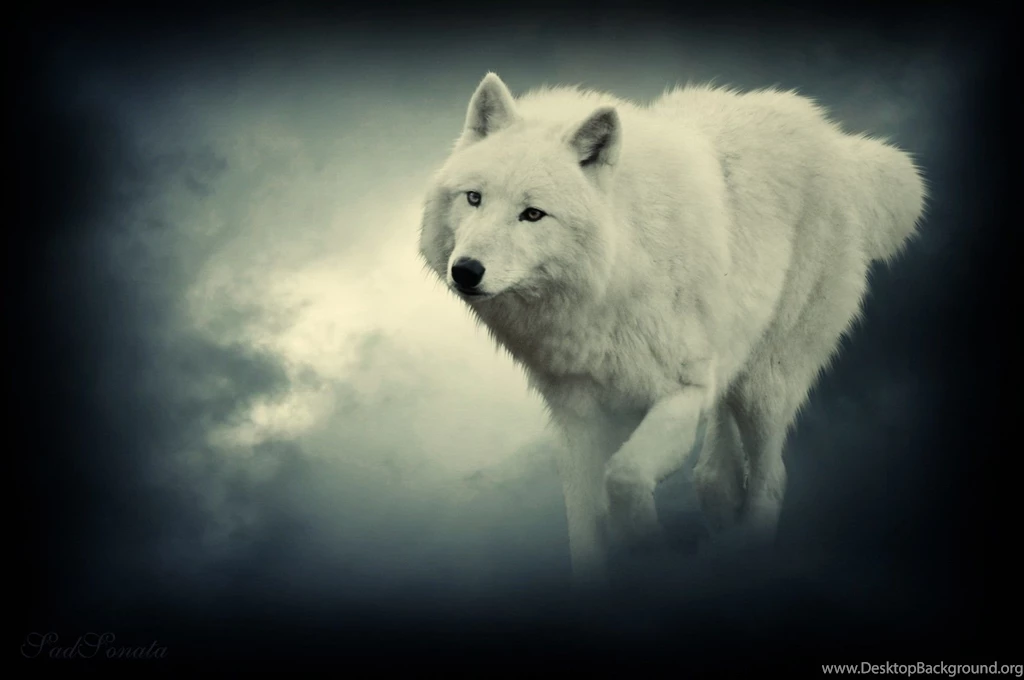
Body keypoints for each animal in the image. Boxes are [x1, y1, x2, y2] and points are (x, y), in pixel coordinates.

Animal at [418, 72, 926, 588]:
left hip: (766, 385)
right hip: (733, 364)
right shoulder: (578, 417)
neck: (615, 276)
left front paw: (647, 548)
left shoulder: (681, 392)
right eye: (474, 198)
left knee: (771, 478)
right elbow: (584, 529)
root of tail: (833, 139)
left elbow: (623, 477)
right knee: (716, 474)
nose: (465, 270)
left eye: (533, 214)